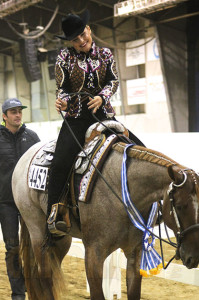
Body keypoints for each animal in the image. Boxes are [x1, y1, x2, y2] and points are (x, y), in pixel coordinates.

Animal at [11, 134, 199, 300]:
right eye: (179, 206)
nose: (193, 256)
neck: (121, 190)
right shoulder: (94, 254)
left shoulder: (135, 252)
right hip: (37, 231)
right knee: (44, 275)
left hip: (61, 239)